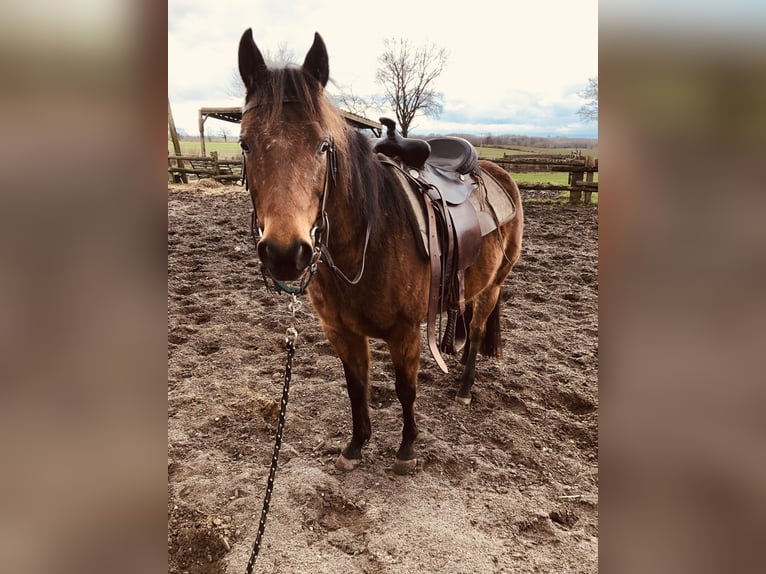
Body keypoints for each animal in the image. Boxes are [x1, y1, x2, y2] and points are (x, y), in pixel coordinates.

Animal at [240, 29, 524, 474]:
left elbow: (405, 389)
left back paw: (465, 386)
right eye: (245, 144)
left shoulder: (405, 331)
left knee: (477, 332)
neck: (363, 244)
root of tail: (499, 173)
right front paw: (356, 445)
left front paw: (406, 449)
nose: (285, 254)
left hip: (494, 285)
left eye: (324, 146)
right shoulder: (341, 332)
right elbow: (356, 386)